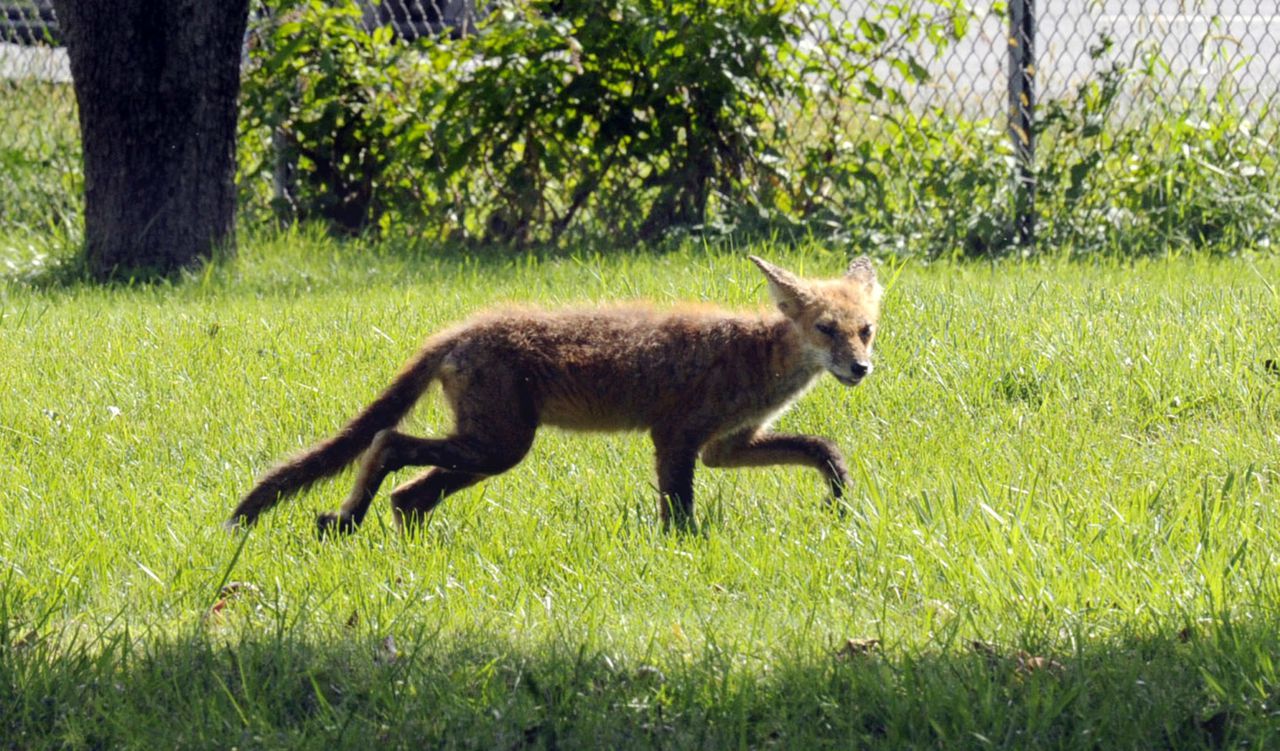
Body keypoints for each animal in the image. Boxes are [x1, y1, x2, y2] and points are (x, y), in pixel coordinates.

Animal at [227, 255, 880, 537]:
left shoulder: (726, 447)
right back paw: (349, 519)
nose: (860, 368)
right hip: (499, 446)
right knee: (386, 442)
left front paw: (839, 499)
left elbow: (823, 448)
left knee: (407, 493)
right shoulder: (675, 438)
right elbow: (679, 514)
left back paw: (378, 533)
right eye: (827, 329)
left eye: (865, 329)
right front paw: (684, 552)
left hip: (487, 452)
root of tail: (459, 330)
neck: (754, 359)